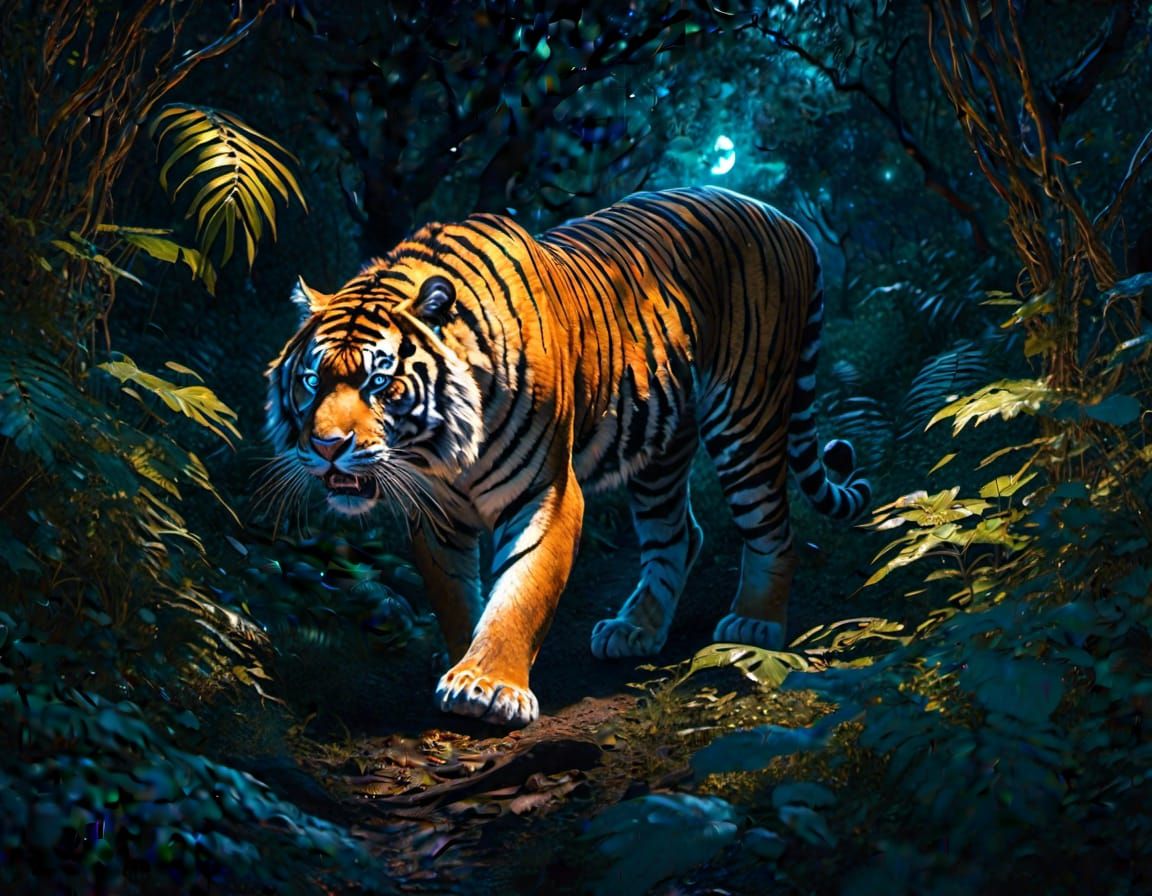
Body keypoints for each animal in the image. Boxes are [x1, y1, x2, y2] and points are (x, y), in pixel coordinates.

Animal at [266, 186, 871, 727]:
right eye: (312, 381)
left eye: (379, 381)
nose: (327, 448)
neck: (441, 451)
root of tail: (782, 216)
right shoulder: (434, 513)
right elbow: (454, 595)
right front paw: (461, 657)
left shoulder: (547, 493)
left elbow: (521, 590)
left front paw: (488, 686)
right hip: (660, 445)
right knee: (679, 534)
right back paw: (636, 629)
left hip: (747, 415)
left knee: (774, 528)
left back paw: (754, 627)